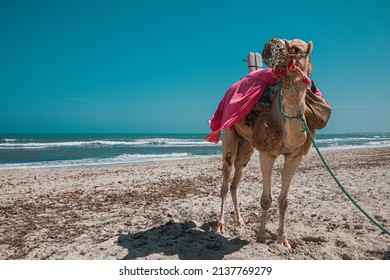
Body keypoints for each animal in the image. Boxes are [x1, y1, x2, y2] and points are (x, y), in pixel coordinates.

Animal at [216, 37, 316, 247]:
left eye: (297, 48)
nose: (270, 45)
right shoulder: (268, 153)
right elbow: (265, 199)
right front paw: (262, 236)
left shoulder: (295, 156)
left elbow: (284, 201)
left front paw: (282, 239)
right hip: (229, 134)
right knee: (225, 181)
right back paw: (220, 225)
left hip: (247, 146)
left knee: (236, 179)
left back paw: (240, 221)